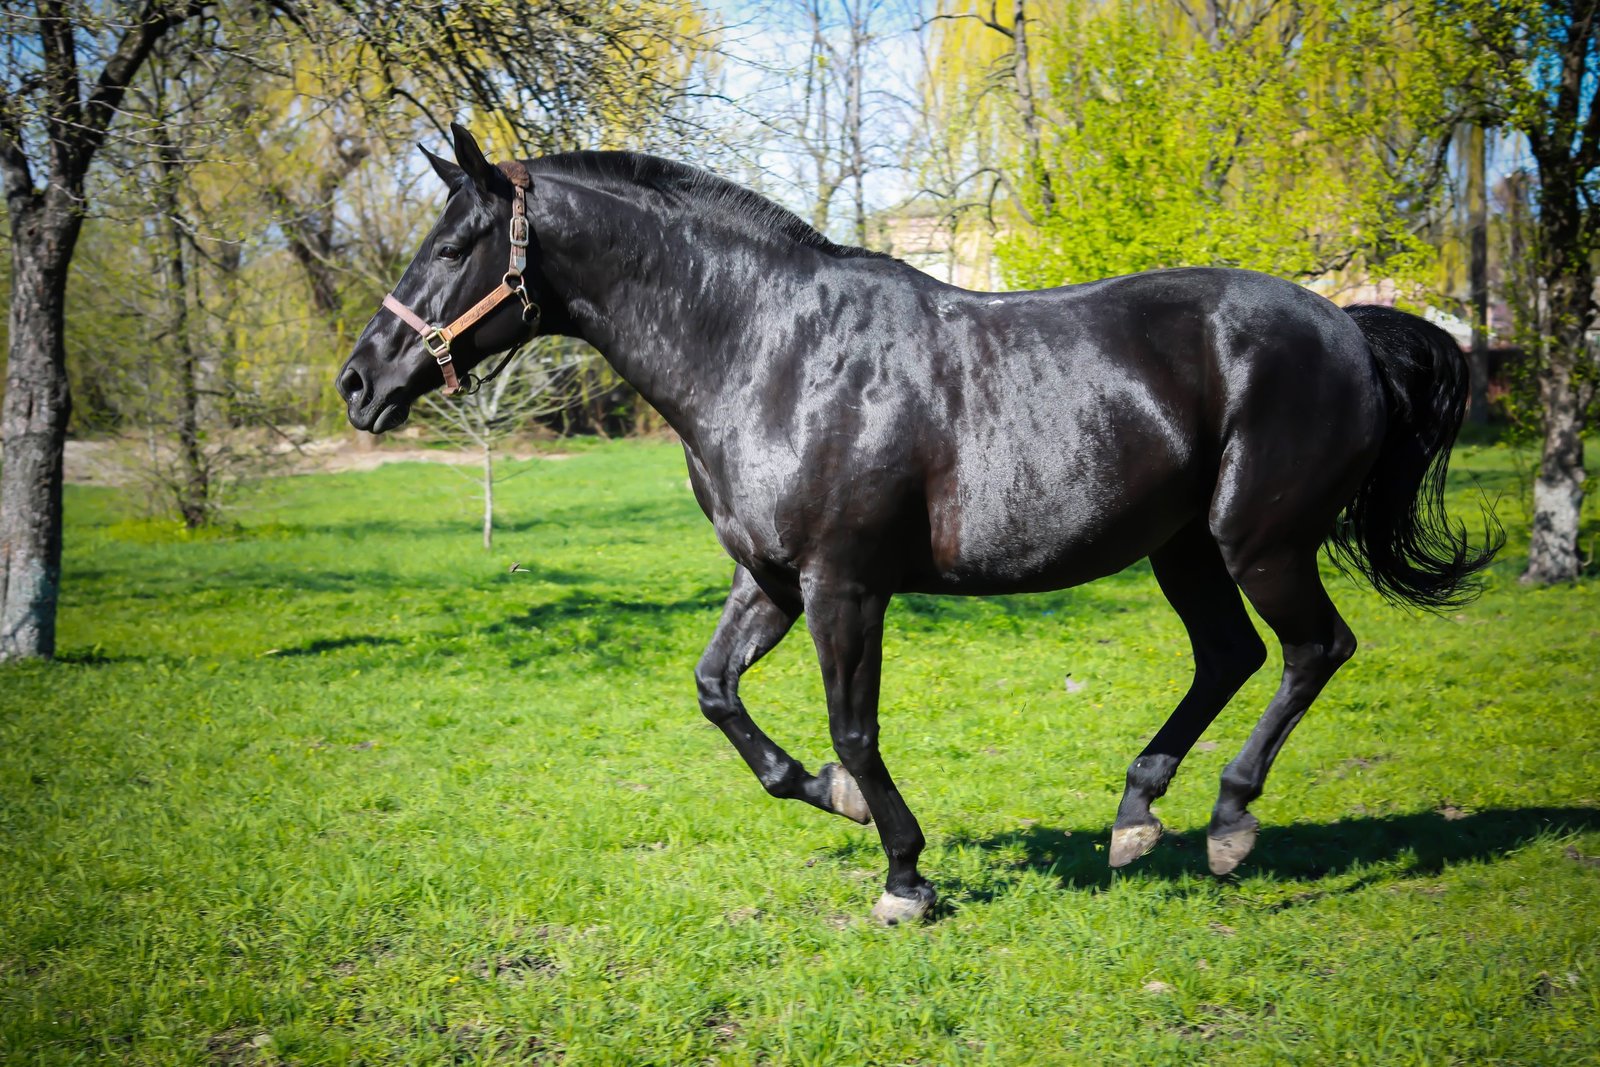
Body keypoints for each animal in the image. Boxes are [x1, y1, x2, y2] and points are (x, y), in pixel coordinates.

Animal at [337, 127, 1497, 927]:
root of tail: (1345, 326)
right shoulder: (768, 581)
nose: (358, 382)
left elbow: (855, 724)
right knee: (1230, 655)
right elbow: (719, 698)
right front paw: (838, 799)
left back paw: (1228, 821)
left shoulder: (843, 584)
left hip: (1261, 542)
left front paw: (902, 871)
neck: (768, 351)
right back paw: (1135, 817)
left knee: (1312, 649)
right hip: (1184, 547)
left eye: (453, 243)